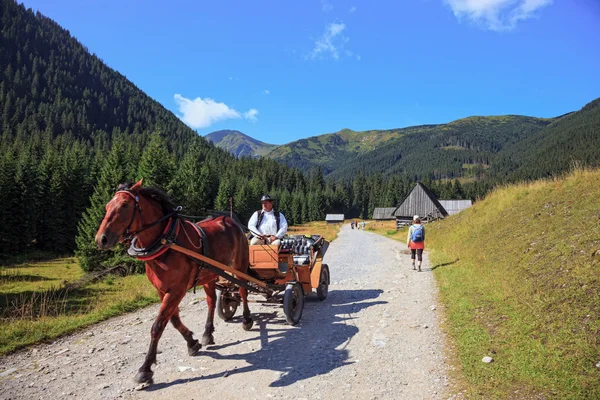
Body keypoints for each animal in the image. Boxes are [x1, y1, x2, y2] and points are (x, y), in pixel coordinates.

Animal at [94, 180, 253, 382]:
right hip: (208, 274)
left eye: (125, 205)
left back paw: (247, 319)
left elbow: (157, 325)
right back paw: (207, 333)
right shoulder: (162, 290)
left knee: (243, 291)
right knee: (211, 301)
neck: (166, 242)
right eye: (107, 206)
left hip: (239, 266)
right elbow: (173, 320)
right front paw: (192, 342)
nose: (101, 239)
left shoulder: (177, 290)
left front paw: (145, 368)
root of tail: (231, 221)